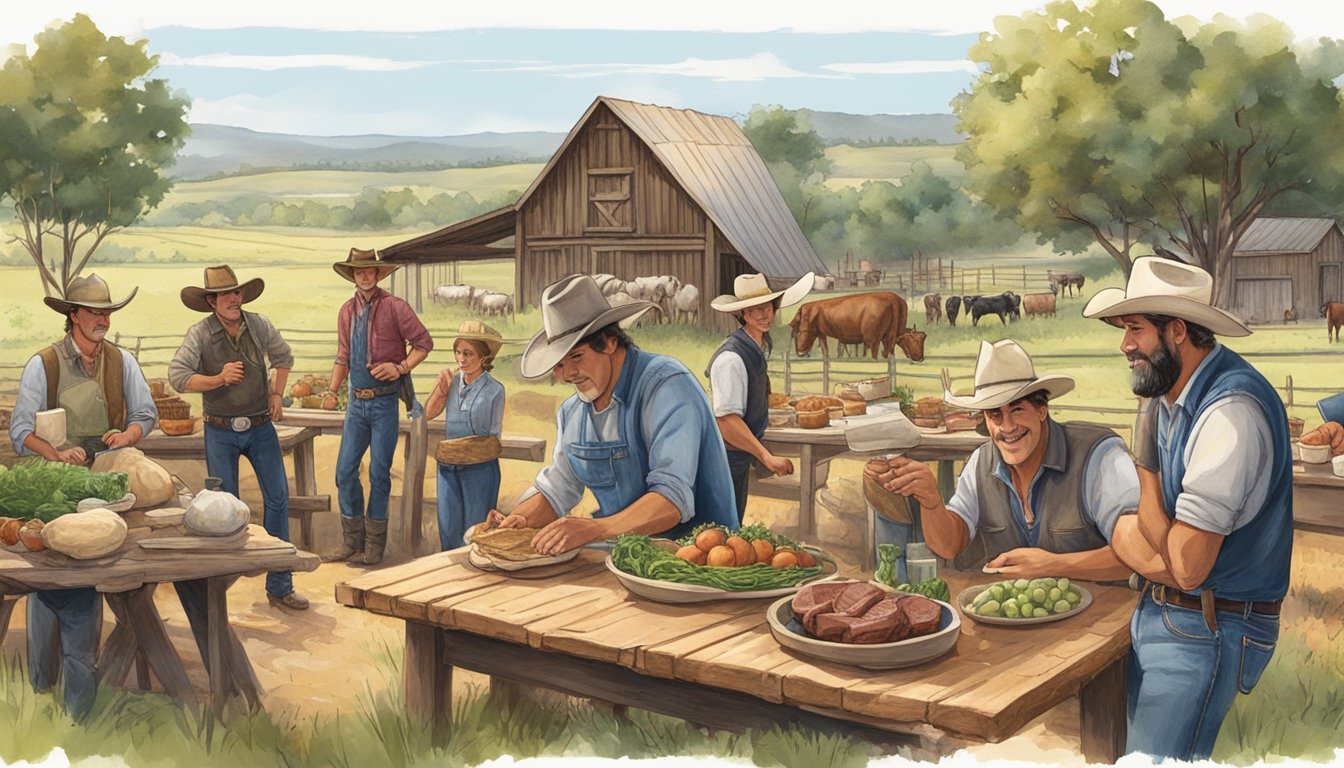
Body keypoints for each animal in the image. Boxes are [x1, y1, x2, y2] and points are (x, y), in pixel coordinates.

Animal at [784, 295, 924, 365]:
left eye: (922, 338)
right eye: (912, 339)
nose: (921, 357)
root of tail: (894, 301)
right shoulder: (818, 333)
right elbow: (825, 349)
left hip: (875, 339)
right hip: (874, 340)